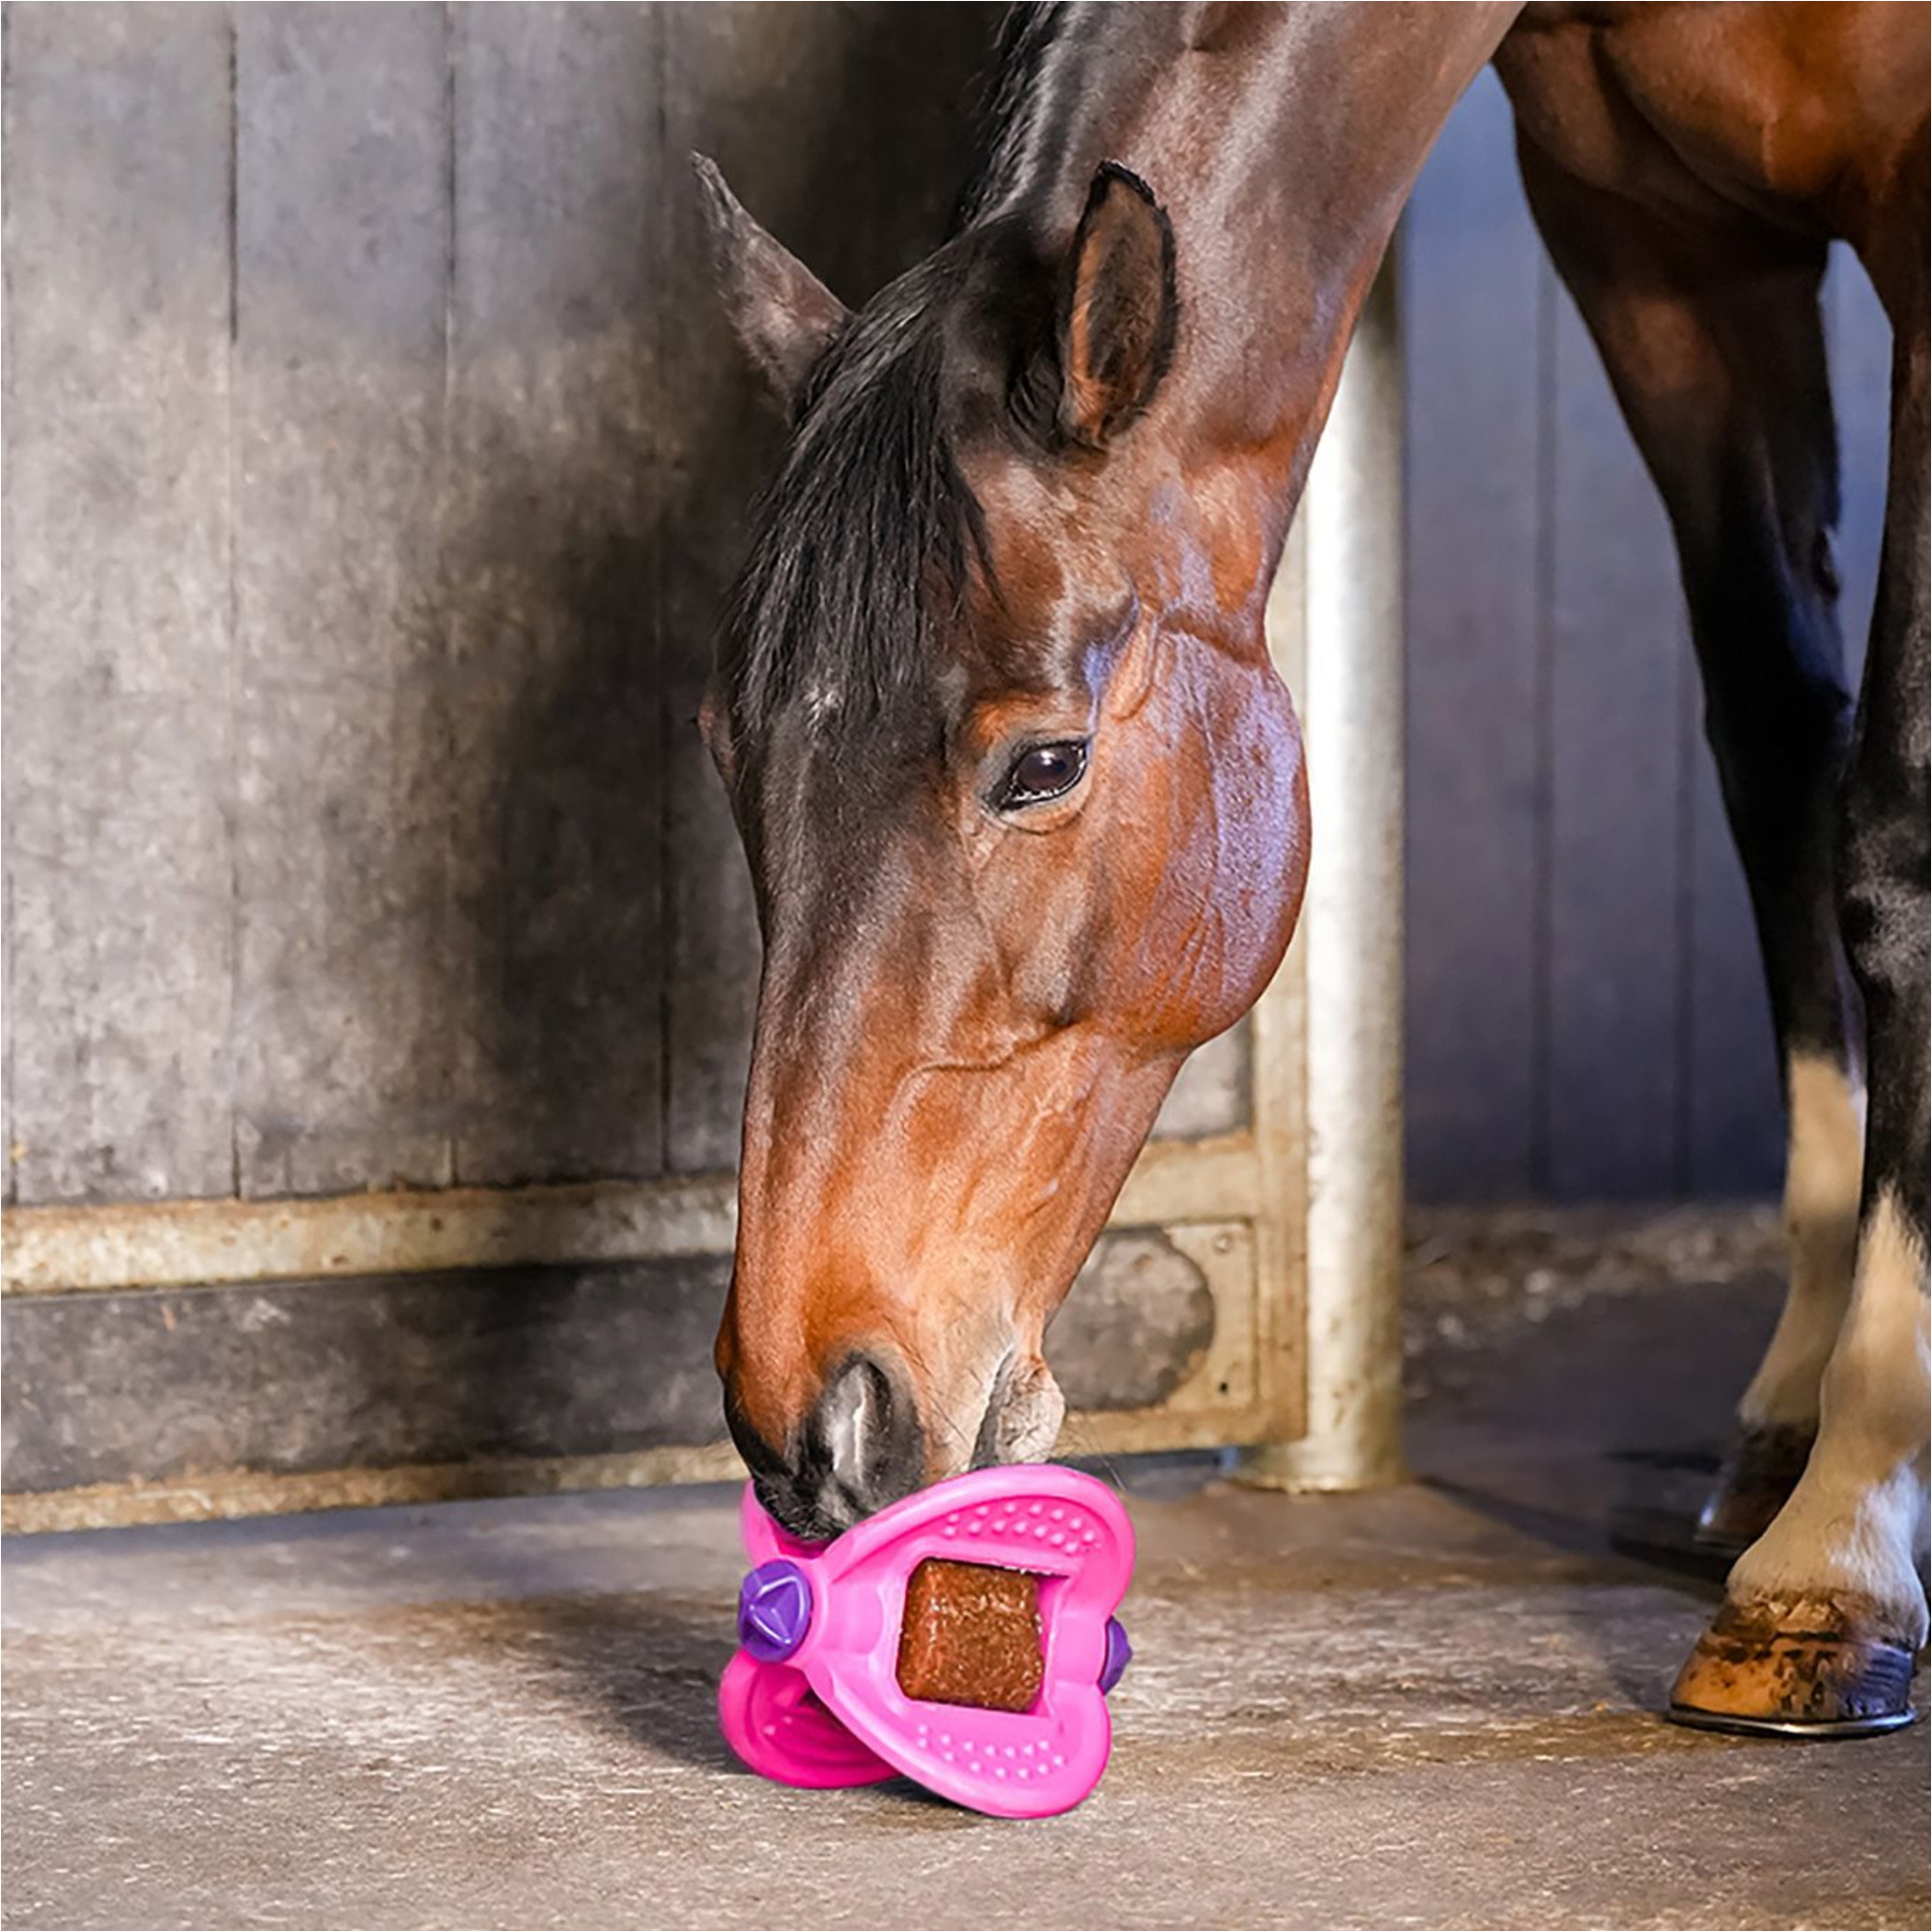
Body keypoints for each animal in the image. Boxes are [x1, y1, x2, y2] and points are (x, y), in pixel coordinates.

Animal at [694, 1, 1929, 1738]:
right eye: (728, 756)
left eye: (1043, 766)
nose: (809, 1421)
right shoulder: (1659, 246)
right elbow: (1782, 765)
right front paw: (1791, 1428)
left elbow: (1896, 821)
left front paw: (1843, 1539)